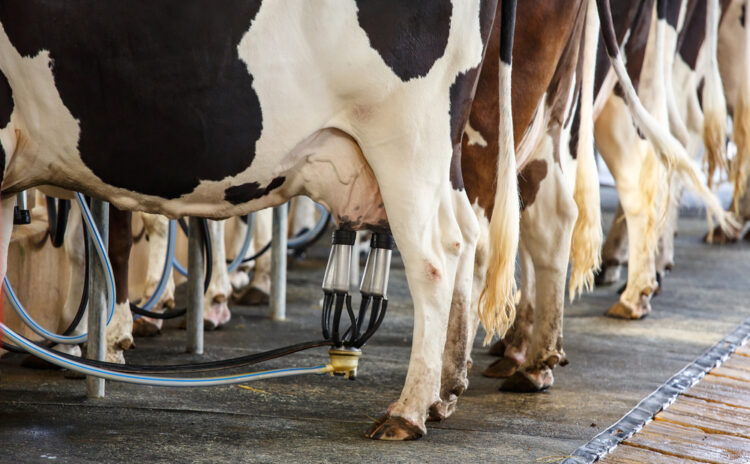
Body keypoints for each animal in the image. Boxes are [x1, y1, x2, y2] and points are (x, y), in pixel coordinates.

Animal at [0, 0, 524, 440]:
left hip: (407, 139)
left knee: (435, 257)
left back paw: (408, 412)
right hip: (441, 156)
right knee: (468, 235)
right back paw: (445, 391)